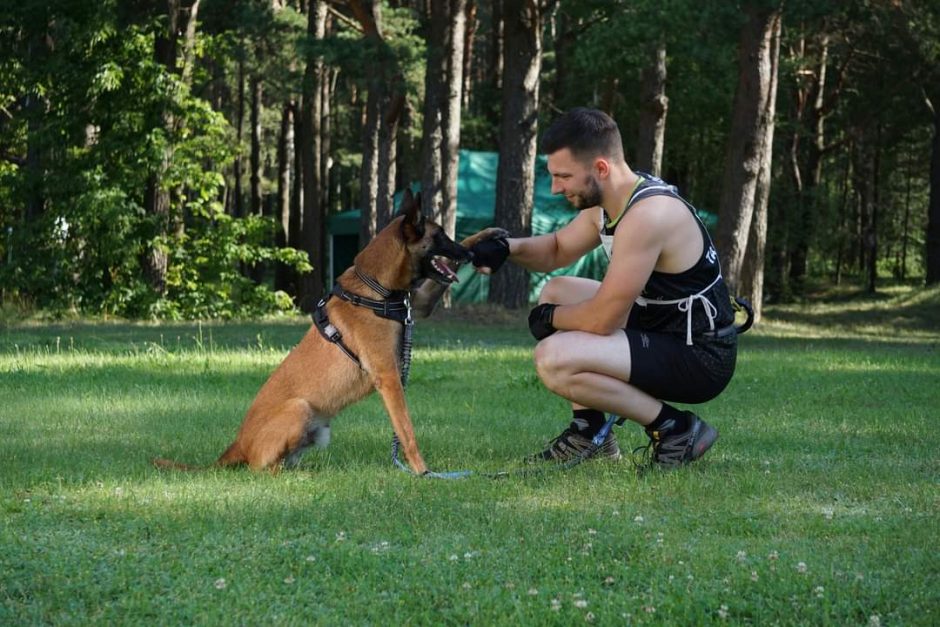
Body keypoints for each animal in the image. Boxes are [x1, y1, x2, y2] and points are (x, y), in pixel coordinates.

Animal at [155, 191, 506, 476]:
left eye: (450, 235)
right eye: (441, 236)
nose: (468, 256)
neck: (375, 287)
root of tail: (237, 443)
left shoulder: (418, 304)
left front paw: (487, 233)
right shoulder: (388, 377)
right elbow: (406, 431)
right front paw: (422, 472)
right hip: (300, 408)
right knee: (261, 470)